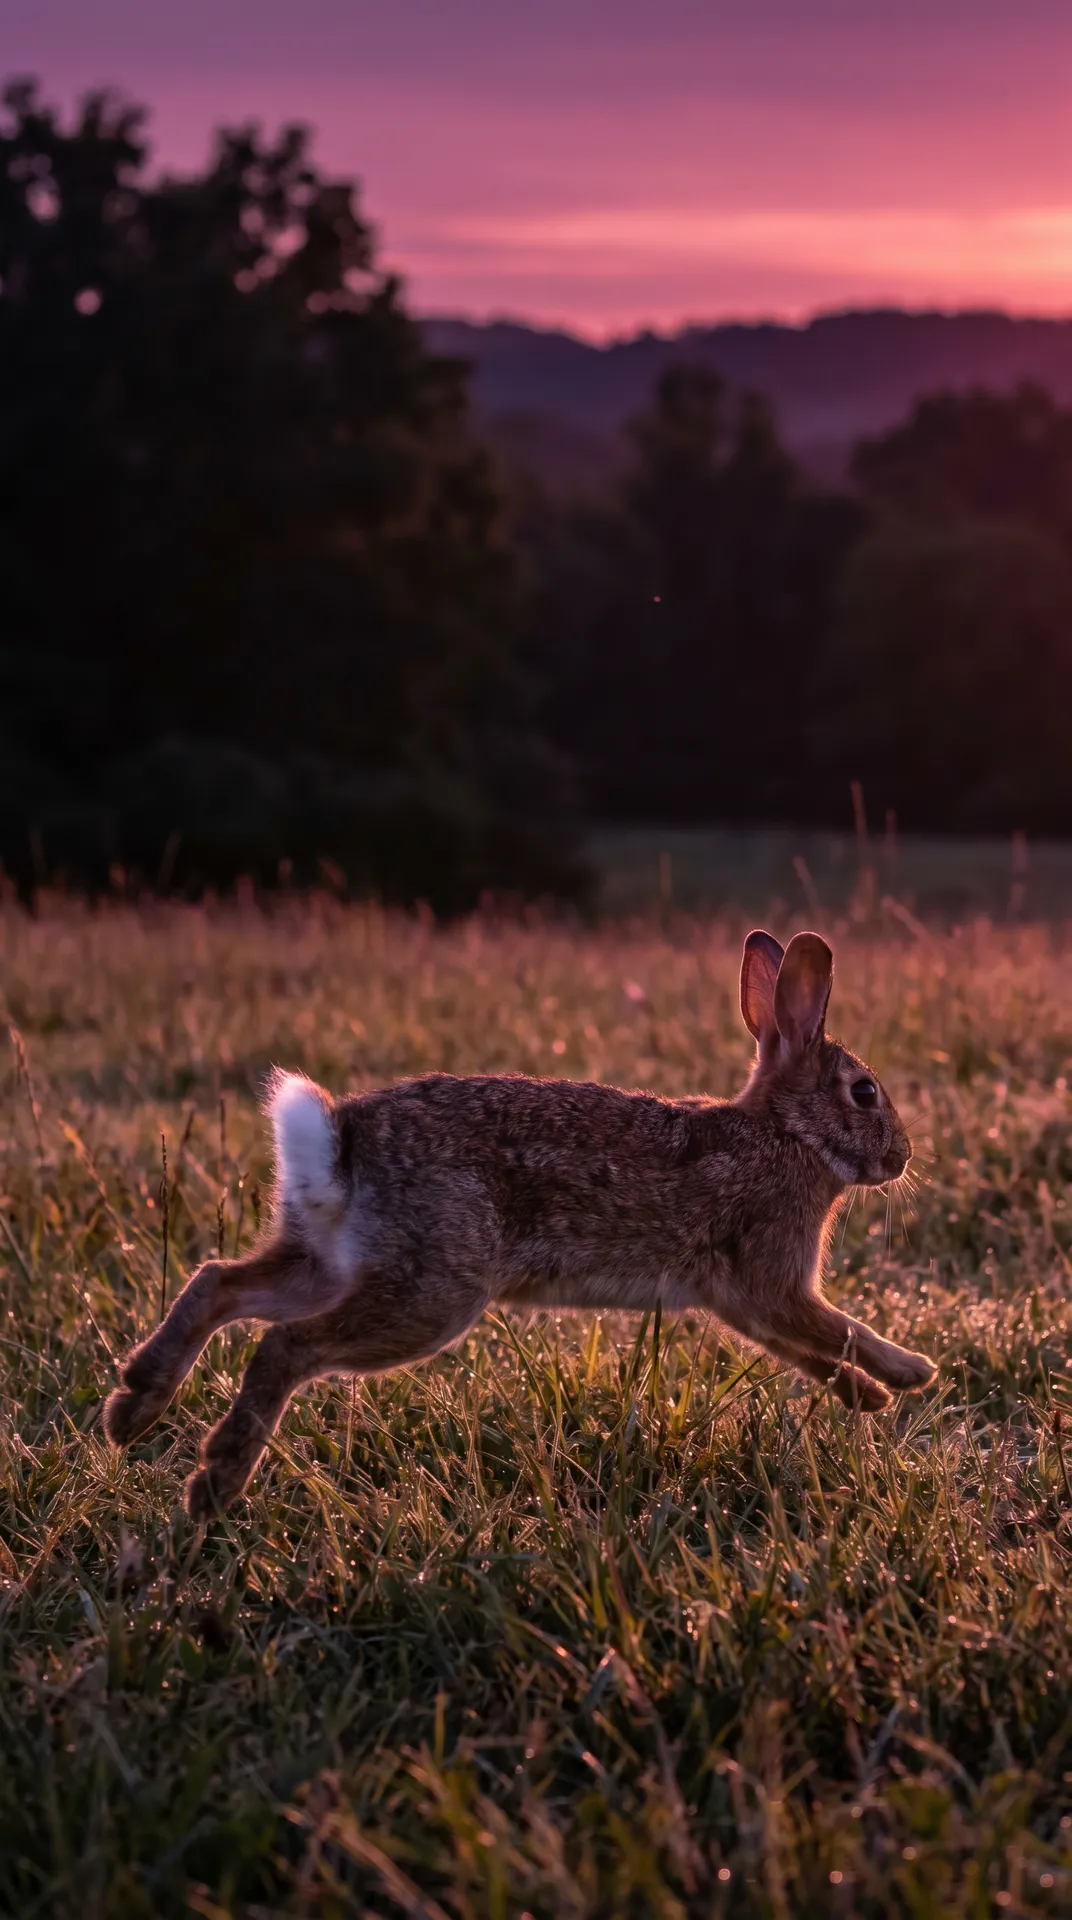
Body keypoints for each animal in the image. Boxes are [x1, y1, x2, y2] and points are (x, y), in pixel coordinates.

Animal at [103, 928, 936, 1517]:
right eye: (864, 1092)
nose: (899, 1157)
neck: (787, 1131)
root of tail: (340, 1141)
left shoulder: (742, 1302)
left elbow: (811, 1352)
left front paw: (870, 1398)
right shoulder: (772, 1281)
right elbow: (838, 1330)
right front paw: (911, 1373)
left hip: (330, 1261)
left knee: (219, 1284)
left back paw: (132, 1408)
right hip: (431, 1293)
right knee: (285, 1346)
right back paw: (214, 1483)